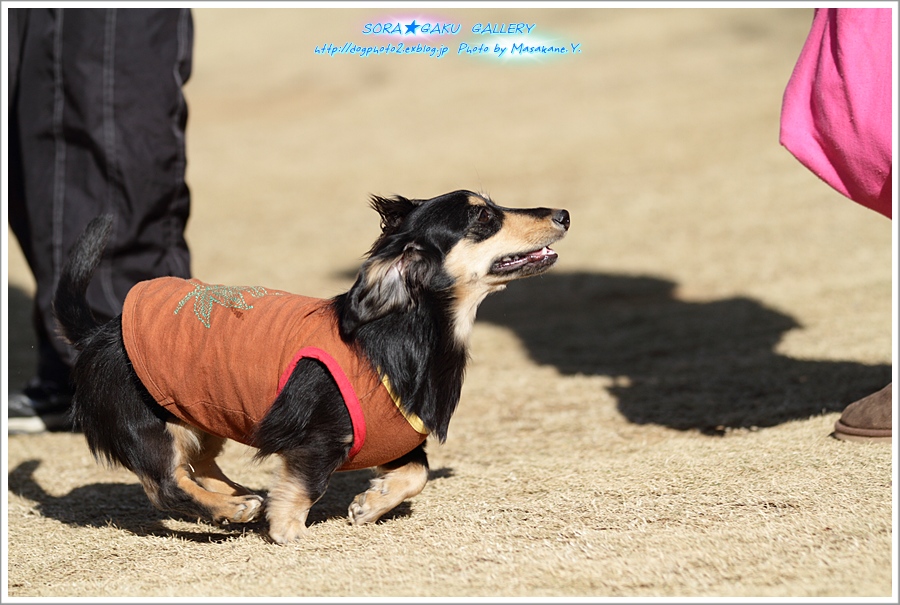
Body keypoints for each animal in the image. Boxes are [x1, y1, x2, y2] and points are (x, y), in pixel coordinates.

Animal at [54, 190, 568, 544]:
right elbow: (305, 485)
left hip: (200, 410)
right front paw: (288, 529)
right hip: (149, 426)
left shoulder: (392, 436)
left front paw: (370, 504)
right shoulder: (319, 440)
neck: (399, 333)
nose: (563, 214)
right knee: (167, 485)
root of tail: (98, 334)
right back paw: (231, 510)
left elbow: (416, 474)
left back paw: (238, 497)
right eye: (483, 216)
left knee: (197, 463)